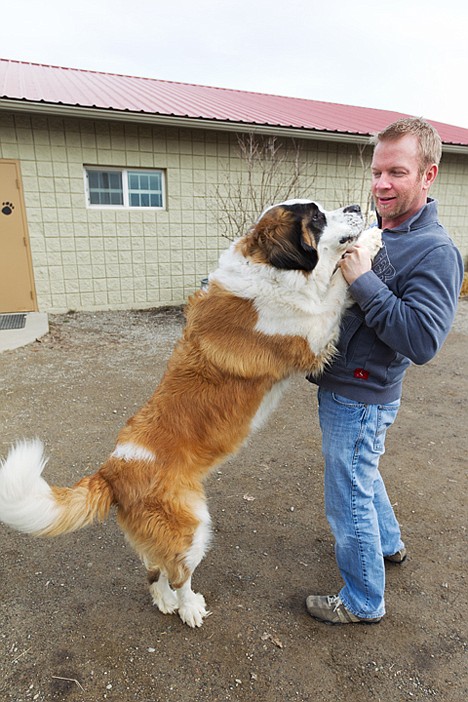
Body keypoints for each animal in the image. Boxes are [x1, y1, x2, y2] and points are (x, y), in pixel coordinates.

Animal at [0, 201, 380, 628]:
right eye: (315, 217)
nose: (355, 205)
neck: (266, 269)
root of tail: (112, 470)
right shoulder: (312, 331)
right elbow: (337, 285)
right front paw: (371, 241)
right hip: (193, 526)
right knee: (179, 572)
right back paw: (188, 607)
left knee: (154, 570)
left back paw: (165, 601)